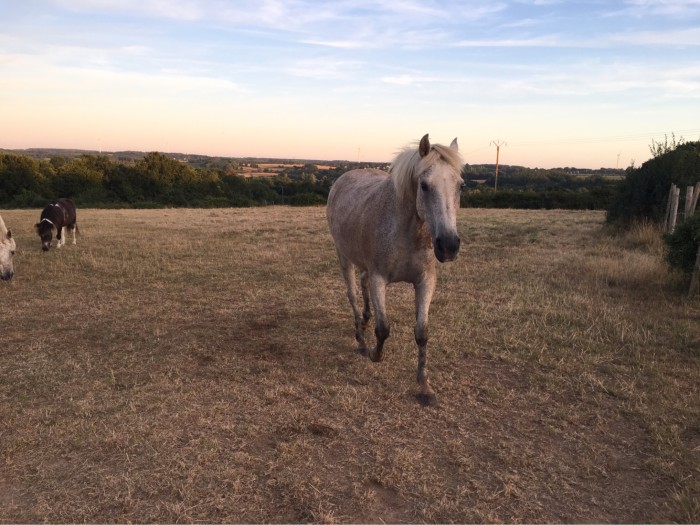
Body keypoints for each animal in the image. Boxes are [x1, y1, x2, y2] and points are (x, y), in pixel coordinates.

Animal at [328, 135, 464, 406]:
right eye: (424, 185)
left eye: (460, 186)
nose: (448, 246)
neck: (407, 231)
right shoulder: (379, 279)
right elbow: (383, 328)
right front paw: (375, 354)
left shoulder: (425, 281)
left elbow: (422, 332)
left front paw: (424, 385)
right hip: (343, 257)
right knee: (352, 295)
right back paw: (361, 340)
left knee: (362, 285)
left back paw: (365, 320)